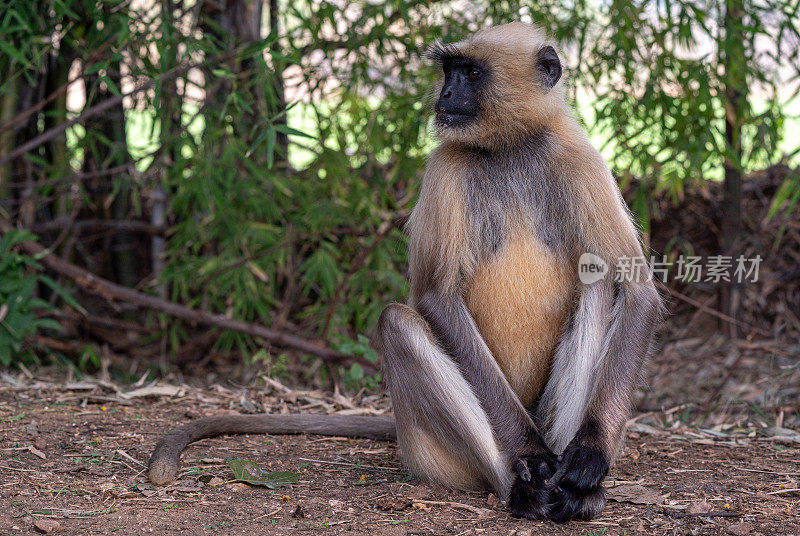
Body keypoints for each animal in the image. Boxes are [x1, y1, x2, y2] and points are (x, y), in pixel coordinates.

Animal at [147, 22, 660, 524]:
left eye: (472, 74)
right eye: (451, 71)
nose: (446, 93)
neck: (509, 147)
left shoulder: (581, 160)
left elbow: (637, 291)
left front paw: (591, 454)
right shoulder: (445, 165)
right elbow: (436, 297)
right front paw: (531, 457)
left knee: (598, 281)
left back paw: (578, 493)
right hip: (431, 450)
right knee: (398, 323)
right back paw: (524, 487)